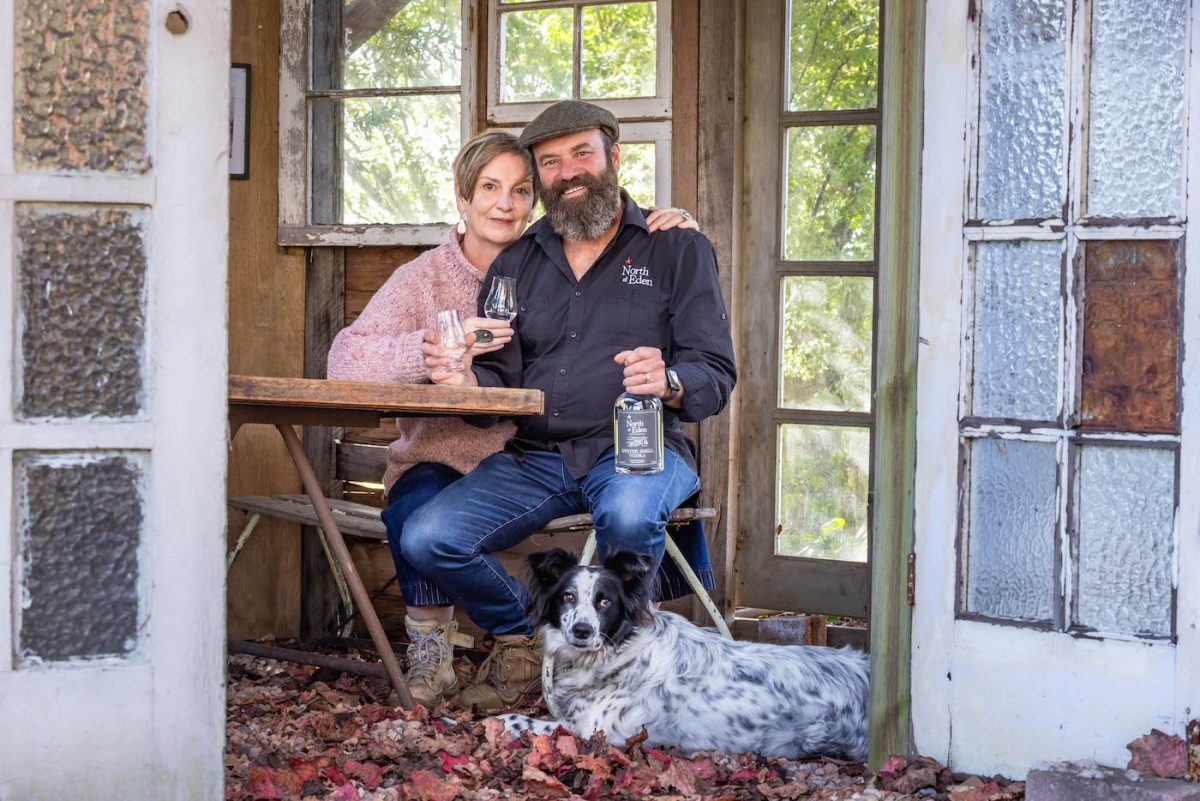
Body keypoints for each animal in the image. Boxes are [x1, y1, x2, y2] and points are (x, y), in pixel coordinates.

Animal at [496, 546, 873, 762]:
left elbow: (521, 721)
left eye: (605, 601)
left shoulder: (597, 732)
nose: (582, 631)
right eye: (568, 597)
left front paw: (498, 723)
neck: (620, 649)